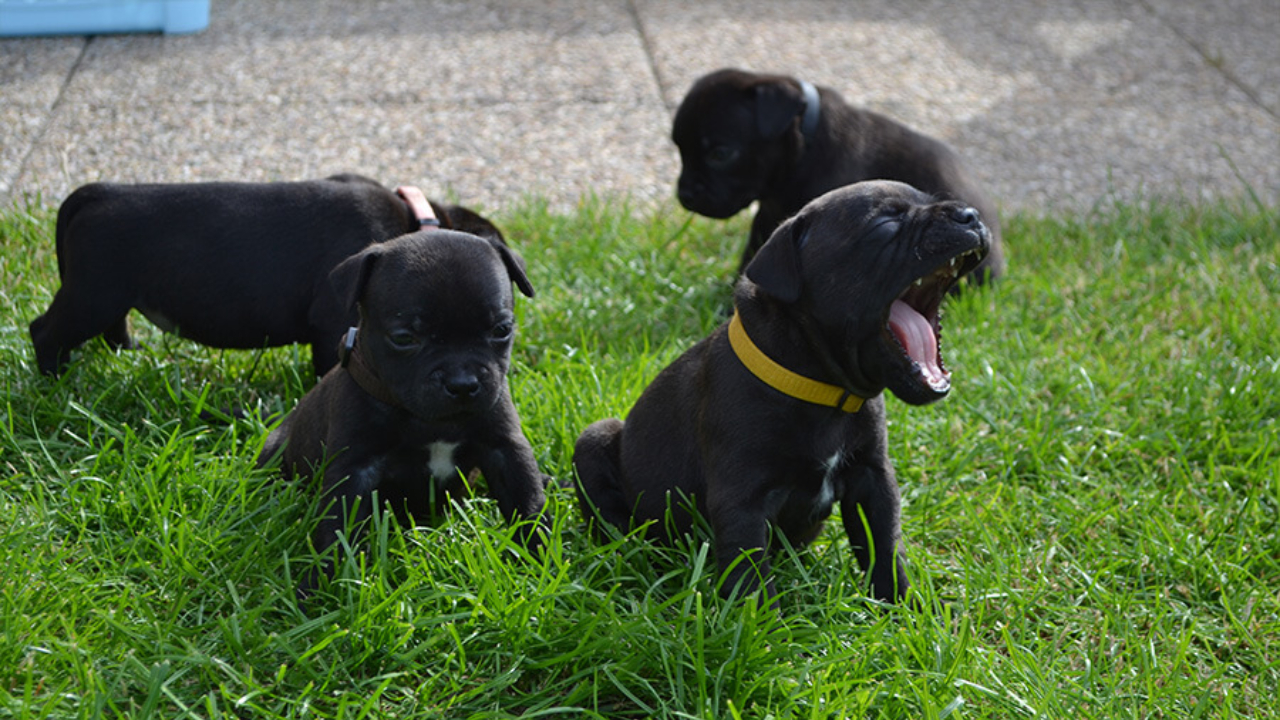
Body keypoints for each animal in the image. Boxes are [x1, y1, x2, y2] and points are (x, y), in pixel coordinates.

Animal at [27, 174, 501, 376]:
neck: (416, 220)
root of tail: (96, 194)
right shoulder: (332, 322)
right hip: (91, 296)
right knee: (45, 331)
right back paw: (56, 379)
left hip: (108, 295)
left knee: (113, 328)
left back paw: (127, 354)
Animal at [573, 178, 988, 599]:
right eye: (886, 222)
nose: (971, 215)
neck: (823, 388)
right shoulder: (743, 500)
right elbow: (750, 572)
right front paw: (758, 617)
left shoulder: (874, 478)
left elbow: (884, 547)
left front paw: (903, 606)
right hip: (594, 441)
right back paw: (629, 551)